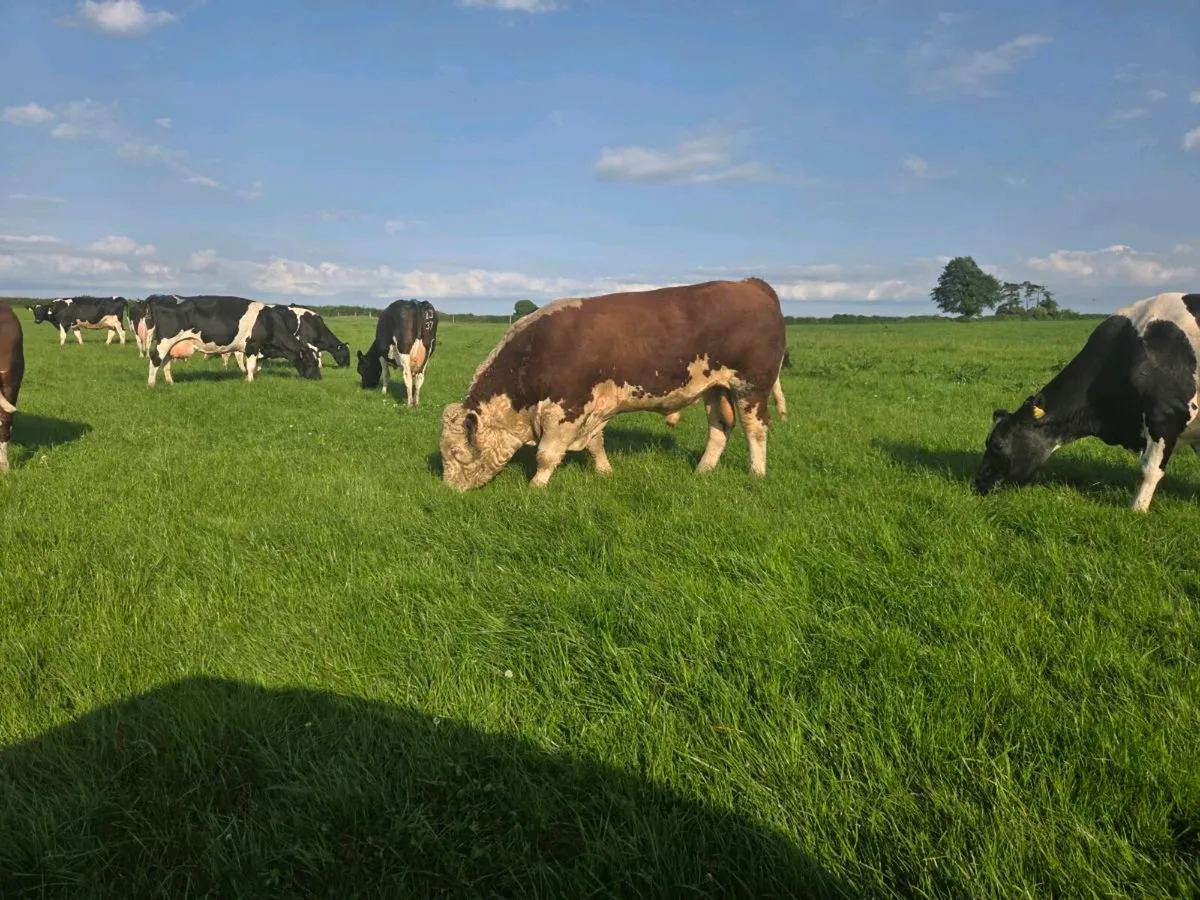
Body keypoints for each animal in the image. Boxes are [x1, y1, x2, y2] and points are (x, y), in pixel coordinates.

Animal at [146, 295, 320, 387]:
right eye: (311, 362)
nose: (318, 378)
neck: (268, 321)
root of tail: (158, 302)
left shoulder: (260, 349)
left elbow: (256, 366)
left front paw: (249, 377)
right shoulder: (253, 345)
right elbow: (251, 365)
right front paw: (250, 381)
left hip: (171, 345)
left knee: (166, 362)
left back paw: (170, 382)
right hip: (165, 342)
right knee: (155, 360)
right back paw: (151, 384)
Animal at [439, 278, 787, 491]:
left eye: (456, 451)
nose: (450, 490)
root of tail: (750, 284)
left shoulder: (566, 408)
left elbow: (547, 454)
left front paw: (536, 486)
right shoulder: (593, 406)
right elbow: (595, 444)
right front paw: (606, 472)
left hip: (751, 387)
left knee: (755, 429)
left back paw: (756, 473)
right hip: (715, 389)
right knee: (719, 428)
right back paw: (703, 470)